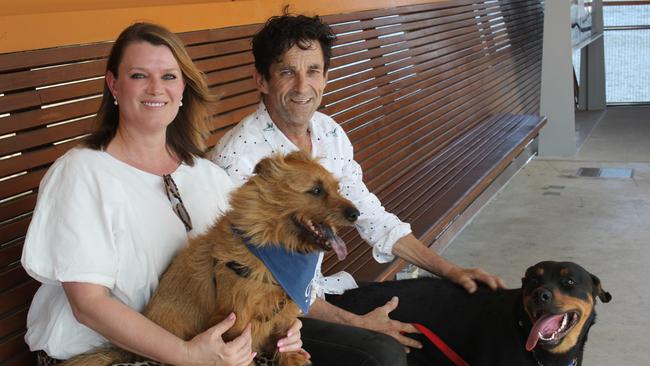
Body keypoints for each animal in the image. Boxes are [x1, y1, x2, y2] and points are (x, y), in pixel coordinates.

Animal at [64, 152, 360, 366]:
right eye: (316, 191)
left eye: (337, 188)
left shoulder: (285, 315)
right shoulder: (237, 323)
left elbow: (286, 339)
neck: (274, 247)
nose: (355, 213)